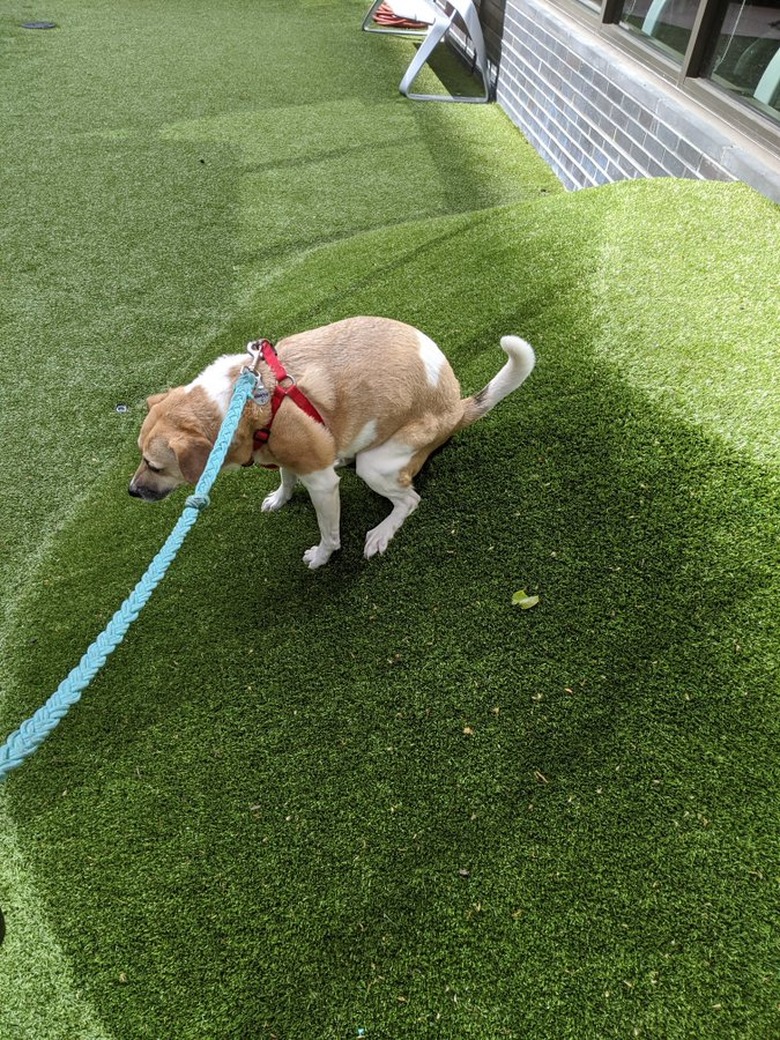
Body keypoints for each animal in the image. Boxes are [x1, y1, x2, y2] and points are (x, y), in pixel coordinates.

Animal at [130, 316, 536, 569]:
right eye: (141, 456)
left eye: (155, 465)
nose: (132, 491)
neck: (245, 399)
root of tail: (457, 408)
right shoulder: (286, 454)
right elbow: (285, 476)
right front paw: (280, 497)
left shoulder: (321, 483)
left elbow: (329, 532)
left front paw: (322, 556)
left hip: (377, 465)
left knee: (409, 499)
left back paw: (382, 531)